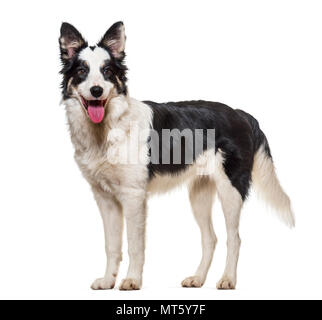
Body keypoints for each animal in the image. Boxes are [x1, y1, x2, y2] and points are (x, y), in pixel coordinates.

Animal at [58, 20, 294, 290]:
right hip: (199, 194)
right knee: (210, 238)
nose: (96, 90)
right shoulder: (105, 199)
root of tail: (241, 113)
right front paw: (108, 281)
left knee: (234, 238)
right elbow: (111, 245)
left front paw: (132, 280)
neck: (107, 128)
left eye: (107, 71)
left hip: (230, 191)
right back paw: (198, 278)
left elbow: (135, 245)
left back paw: (227, 279)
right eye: (81, 72)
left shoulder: (133, 196)